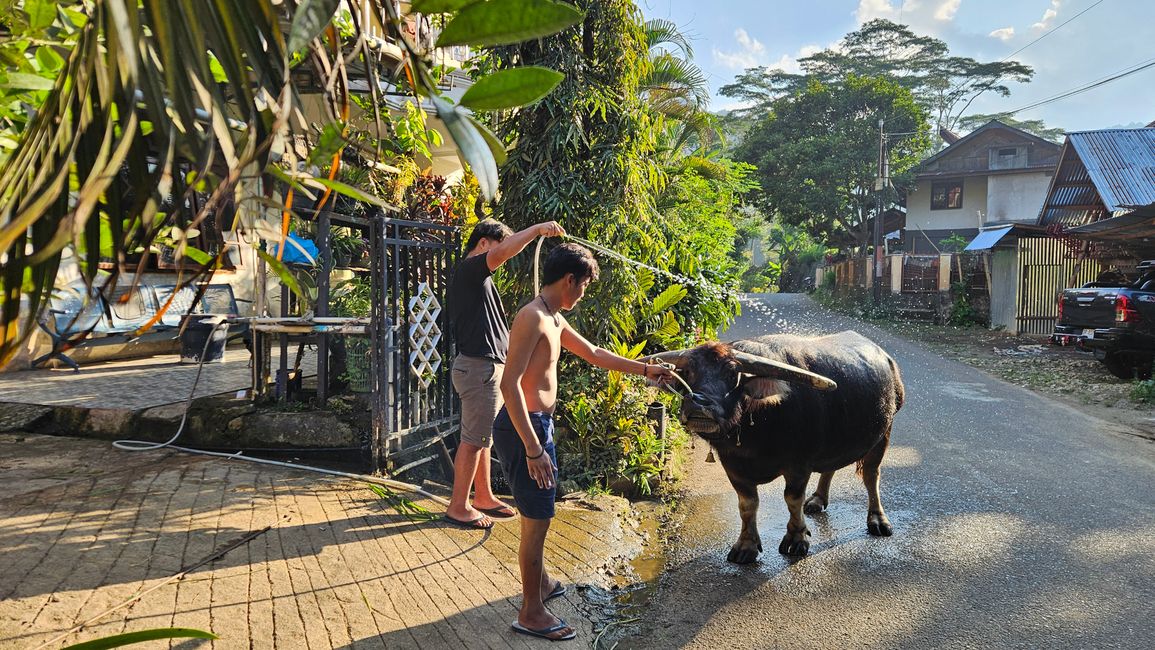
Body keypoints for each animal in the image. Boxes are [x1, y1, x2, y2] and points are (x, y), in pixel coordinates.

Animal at [651, 332, 900, 561]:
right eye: (688, 372)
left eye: (732, 373)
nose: (699, 402)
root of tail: (889, 362)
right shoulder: (732, 467)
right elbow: (747, 505)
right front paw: (746, 546)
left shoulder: (799, 466)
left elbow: (792, 500)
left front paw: (796, 539)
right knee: (831, 467)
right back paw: (818, 500)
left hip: (883, 434)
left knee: (871, 475)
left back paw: (877, 520)